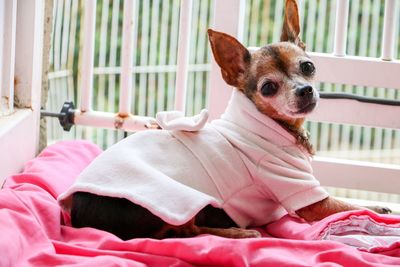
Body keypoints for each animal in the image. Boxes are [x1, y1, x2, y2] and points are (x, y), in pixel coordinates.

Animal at [59, 0, 390, 241]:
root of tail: (80, 218)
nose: (305, 90)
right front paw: (378, 209)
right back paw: (239, 232)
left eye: (308, 67)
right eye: (268, 88)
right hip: (180, 200)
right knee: (186, 232)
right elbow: (346, 206)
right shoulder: (306, 197)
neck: (273, 126)